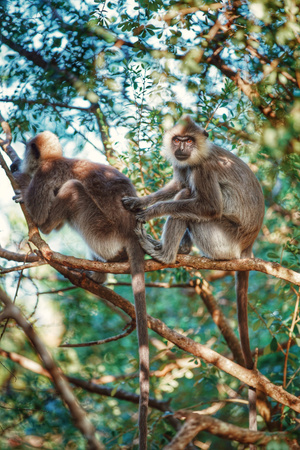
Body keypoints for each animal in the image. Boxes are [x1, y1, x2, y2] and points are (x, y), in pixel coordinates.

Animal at [11, 131, 150, 450]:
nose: (21, 159)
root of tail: (130, 231)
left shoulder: (46, 173)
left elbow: (37, 208)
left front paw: (21, 181)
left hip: (102, 231)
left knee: (71, 191)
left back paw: (47, 230)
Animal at [122, 114, 264, 430]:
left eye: (189, 140)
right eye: (178, 140)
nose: (181, 148)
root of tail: (247, 245)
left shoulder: (203, 168)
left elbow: (207, 205)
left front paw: (153, 211)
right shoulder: (183, 164)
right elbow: (176, 180)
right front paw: (140, 201)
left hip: (223, 239)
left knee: (190, 198)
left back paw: (165, 254)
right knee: (184, 189)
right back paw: (181, 249)